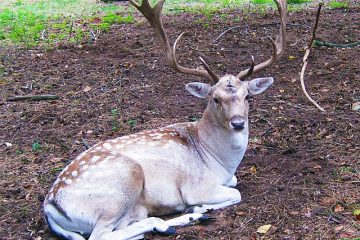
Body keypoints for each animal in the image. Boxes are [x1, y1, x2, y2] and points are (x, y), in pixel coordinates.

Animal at [44, 0, 286, 239]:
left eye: (248, 96)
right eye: (215, 99)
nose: (237, 123)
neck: (219, 161)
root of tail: (50, 207)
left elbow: (235, 183)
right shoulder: (197, 186)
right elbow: (235, 193)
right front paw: (197, 206)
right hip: (122, 184)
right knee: (102, 234)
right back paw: (178, 219)